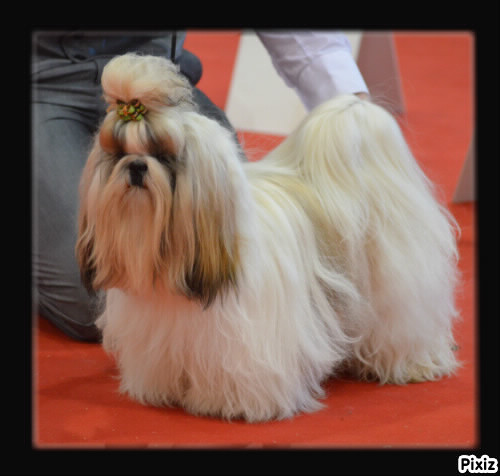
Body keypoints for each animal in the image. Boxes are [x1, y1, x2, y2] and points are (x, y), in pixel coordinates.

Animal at [76, 54, 458, 422]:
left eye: (164, 156)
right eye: (118, 154)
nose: (136, 166)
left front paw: (224, 403)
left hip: (397, 290)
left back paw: (410, 364)